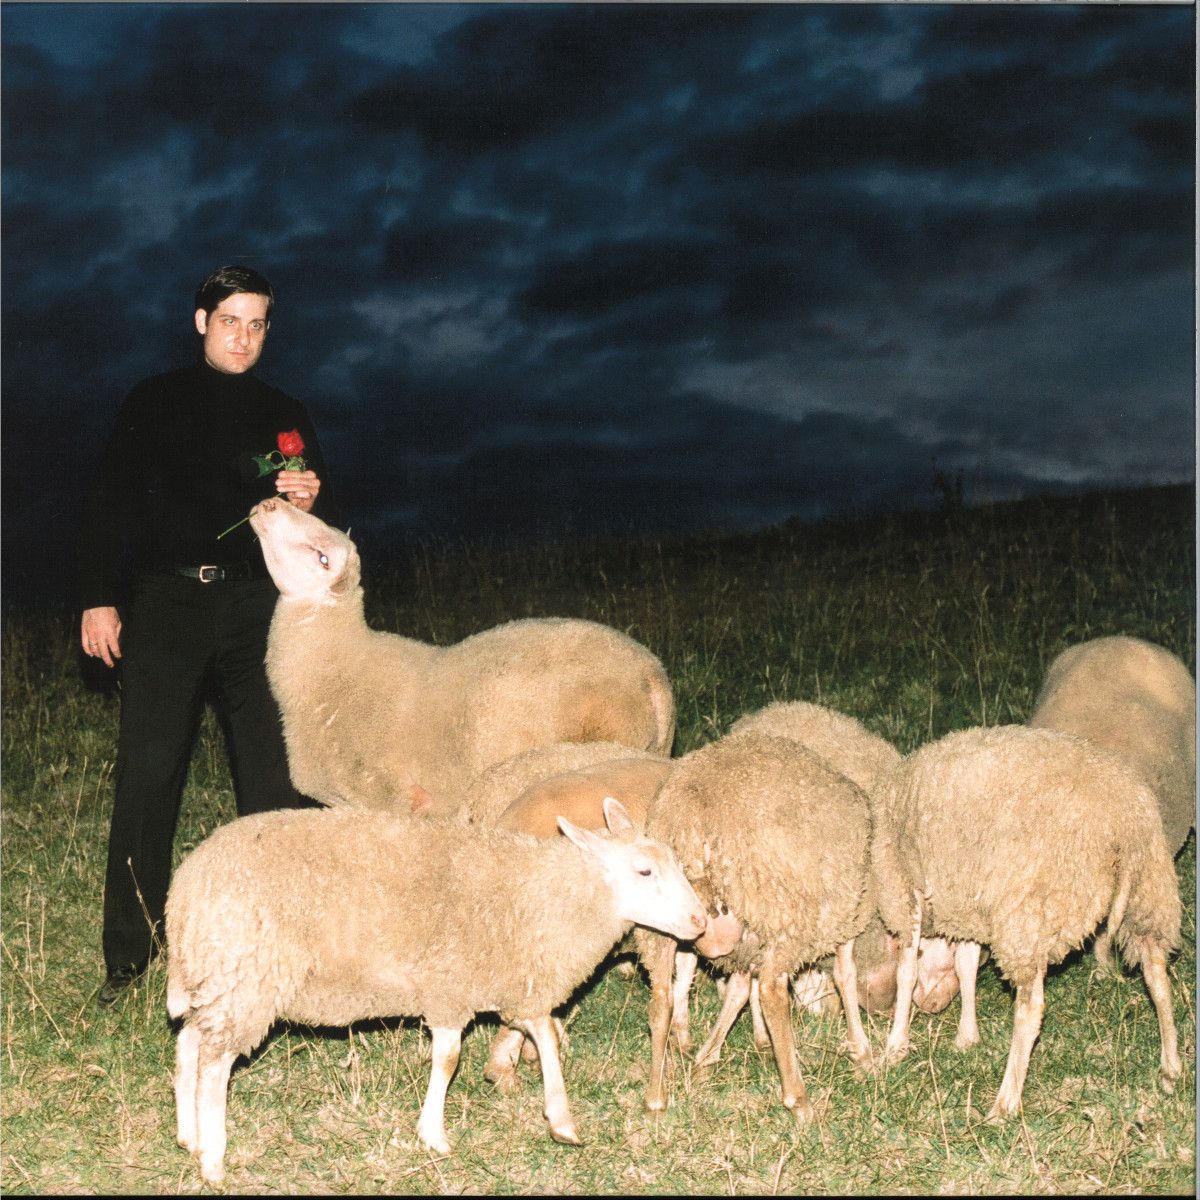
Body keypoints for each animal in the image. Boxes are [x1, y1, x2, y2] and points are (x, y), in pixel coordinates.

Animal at [165, 798, 706, 1184]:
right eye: (644, 871)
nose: (701, 920)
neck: (541, 898)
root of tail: (187, 888)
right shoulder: (450, 986)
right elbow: (448, 1059)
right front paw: (434, 1135)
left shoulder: (514, 980)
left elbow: (545, 1037)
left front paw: (561, 1120)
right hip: (247, 977)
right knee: (214, 1065)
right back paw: (213, 1160)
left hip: (218, 977)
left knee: (190, 1043)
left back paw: (189, 1137)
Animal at [634, 731, 875, 1121]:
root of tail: (691, 816)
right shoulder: (844, 914)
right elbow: (846, 975)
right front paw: (863, 1052)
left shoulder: (748, 939)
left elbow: (736, 991)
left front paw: (706, 1060)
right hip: (781, 910)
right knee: (773, 991)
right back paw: (798, 1099)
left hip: (663, 920)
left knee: (661, 998)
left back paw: (656, 1099)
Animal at [873, 724, 1182, 1118]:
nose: (930, 1007)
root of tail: (1122, 823)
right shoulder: (970, 902)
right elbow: (967, 966)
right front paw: (967, 1036)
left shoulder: (904, 887)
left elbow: (907, 970)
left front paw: (894, 1046)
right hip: (1150, 894)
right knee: (1158, 979)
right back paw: (1171, 1069)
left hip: (1027, 914)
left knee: (1031, 1008)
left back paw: (1004, 1104)